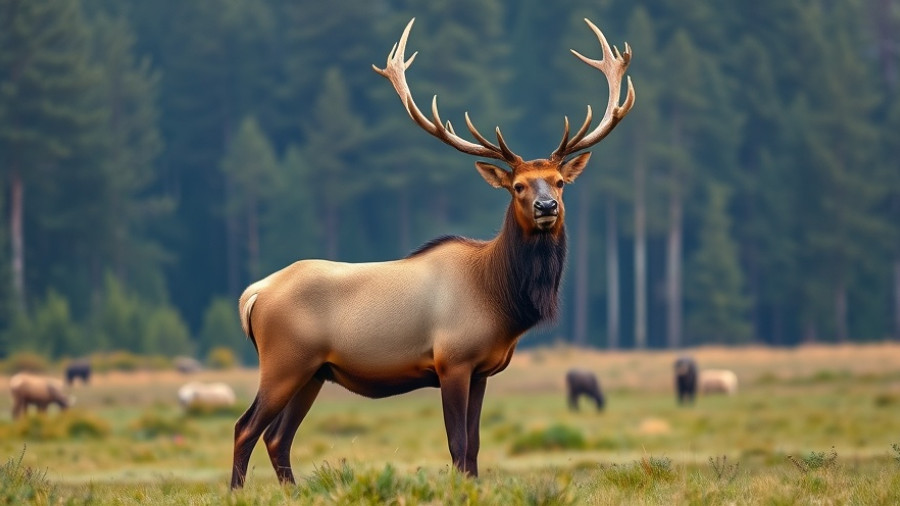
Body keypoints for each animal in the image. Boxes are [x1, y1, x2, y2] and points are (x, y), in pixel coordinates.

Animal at [230, 17, 634, 489]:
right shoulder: (451, 362)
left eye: (559, 181)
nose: (546, 207)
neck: (501, 299)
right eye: (518, 186)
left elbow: (474, 446)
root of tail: (254, 293)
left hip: (314, 372)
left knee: (278, 437)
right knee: (245, 428)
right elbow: (457, 445)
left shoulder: (482, 370)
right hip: (284, 362)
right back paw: (238, 490)